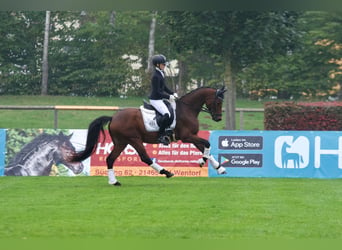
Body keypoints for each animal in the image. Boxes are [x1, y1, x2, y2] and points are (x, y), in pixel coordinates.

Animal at [70, 86, 227, 186]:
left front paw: (219, 168)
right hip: (134, 140)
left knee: (110, 159)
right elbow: (207, 144)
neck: (187, 109)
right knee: (145, 157)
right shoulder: (187, 136)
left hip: (122, 142)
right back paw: (166, 172)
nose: (218, 118)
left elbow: (206, 148)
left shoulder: (192, 136)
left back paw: (114, 182)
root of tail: (113, 117)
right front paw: (201, 161)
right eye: (218, 102)